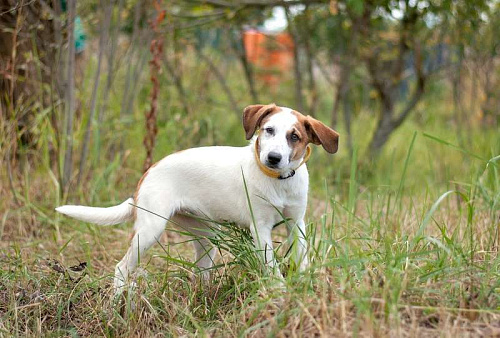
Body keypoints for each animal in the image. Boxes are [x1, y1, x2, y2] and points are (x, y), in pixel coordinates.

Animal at [55, 104, 340, 292]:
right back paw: (118, 306)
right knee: (121, 268)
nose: (273, 158)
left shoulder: (296, 224)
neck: (278, 181)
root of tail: (149, 172)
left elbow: (302, 258)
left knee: (200, 272)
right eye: (268, 130)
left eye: (295, 137)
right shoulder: (261, 229)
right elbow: (271, 267)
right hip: (150, 230)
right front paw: (280, 292)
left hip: (206, 236)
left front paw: (305, 286)